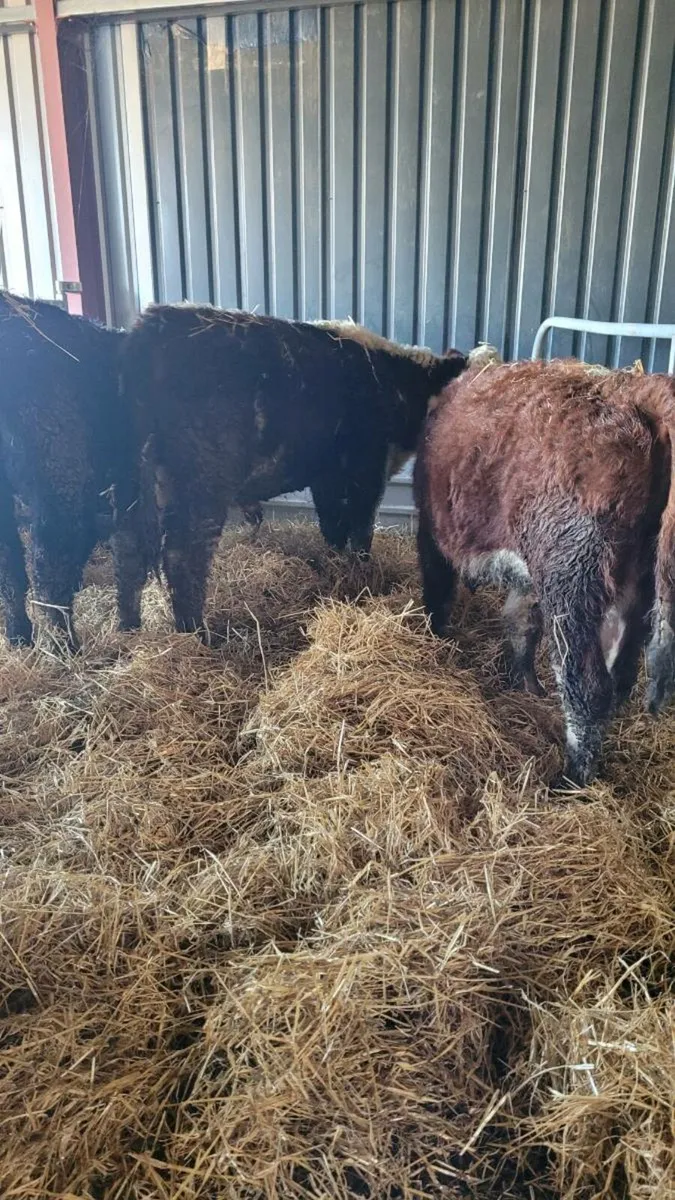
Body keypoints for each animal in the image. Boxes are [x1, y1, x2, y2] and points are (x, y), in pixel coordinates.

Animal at [114, 304, 466, 636]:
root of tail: (153, 325)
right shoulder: (366, 469)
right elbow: (361, 531)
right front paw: (363, 576)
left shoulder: (328, 477)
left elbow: (333, 527)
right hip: (201, 482)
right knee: (182, 556)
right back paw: (196, 634)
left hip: (131, 480)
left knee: (128, 551)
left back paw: (129, 629)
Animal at [414, 358, 675, 788]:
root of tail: (629, 388)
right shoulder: (528, 577)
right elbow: (520, 623)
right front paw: (525, 686)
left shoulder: (433, 536)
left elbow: (438, 595)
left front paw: (434, 639)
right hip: (633, 586)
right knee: (619, 672)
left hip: (571, 578)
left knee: (587, 685)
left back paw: (572, 779)